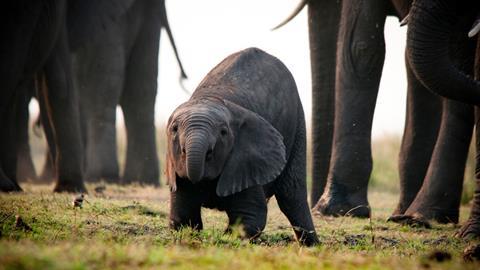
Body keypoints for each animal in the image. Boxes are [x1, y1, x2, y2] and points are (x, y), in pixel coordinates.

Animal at [165, 47, 318, 246]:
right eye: (174, 129)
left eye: (223, 132)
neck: (211, 98)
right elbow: (183, 215)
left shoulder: (246, 158)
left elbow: (250, 216)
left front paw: (226, 239)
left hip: (298, 120)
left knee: (291, 195)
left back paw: (313, 247)